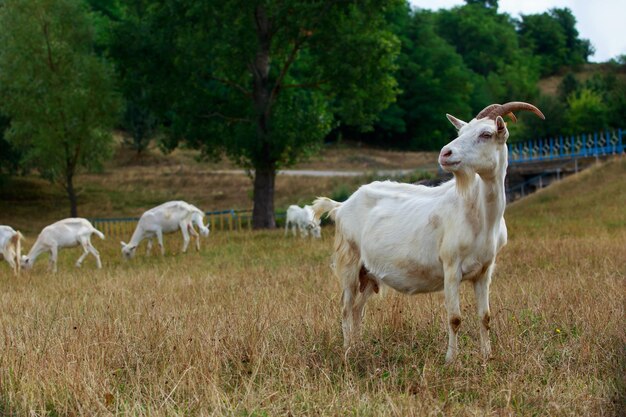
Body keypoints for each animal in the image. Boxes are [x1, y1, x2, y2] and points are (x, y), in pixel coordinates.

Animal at [310, 101, 540, 360]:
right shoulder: (451, 267)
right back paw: (348, 350)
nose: (445, 154)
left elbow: (485, 317)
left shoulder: (484, 270)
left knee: (359, 308)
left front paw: (486, 357)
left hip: (368, 273)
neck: (481, 215)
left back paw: (359, 348)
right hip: (349, 260)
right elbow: (455, 318)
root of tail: (341, 206)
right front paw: (451, 360)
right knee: (346, 307)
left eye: (486, 134)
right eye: (461, 132)